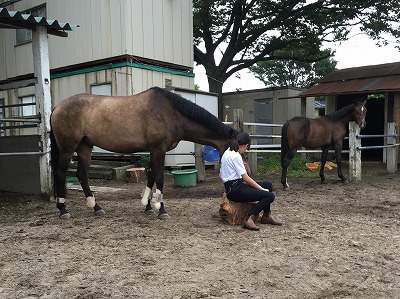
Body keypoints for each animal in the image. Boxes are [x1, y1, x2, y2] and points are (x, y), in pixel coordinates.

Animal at [50, 86, 238, 220]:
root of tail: (58, 106)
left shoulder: (154, 151)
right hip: (67, 148)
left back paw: (96, 207)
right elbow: (159, 178)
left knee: (82, 174)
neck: (171, 112)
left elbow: (151, 177)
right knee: (60, 173)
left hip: (85, 147)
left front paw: (148, 207)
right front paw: (161, 210)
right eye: (236, 149)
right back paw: (63, 209)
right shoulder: (159, 149)